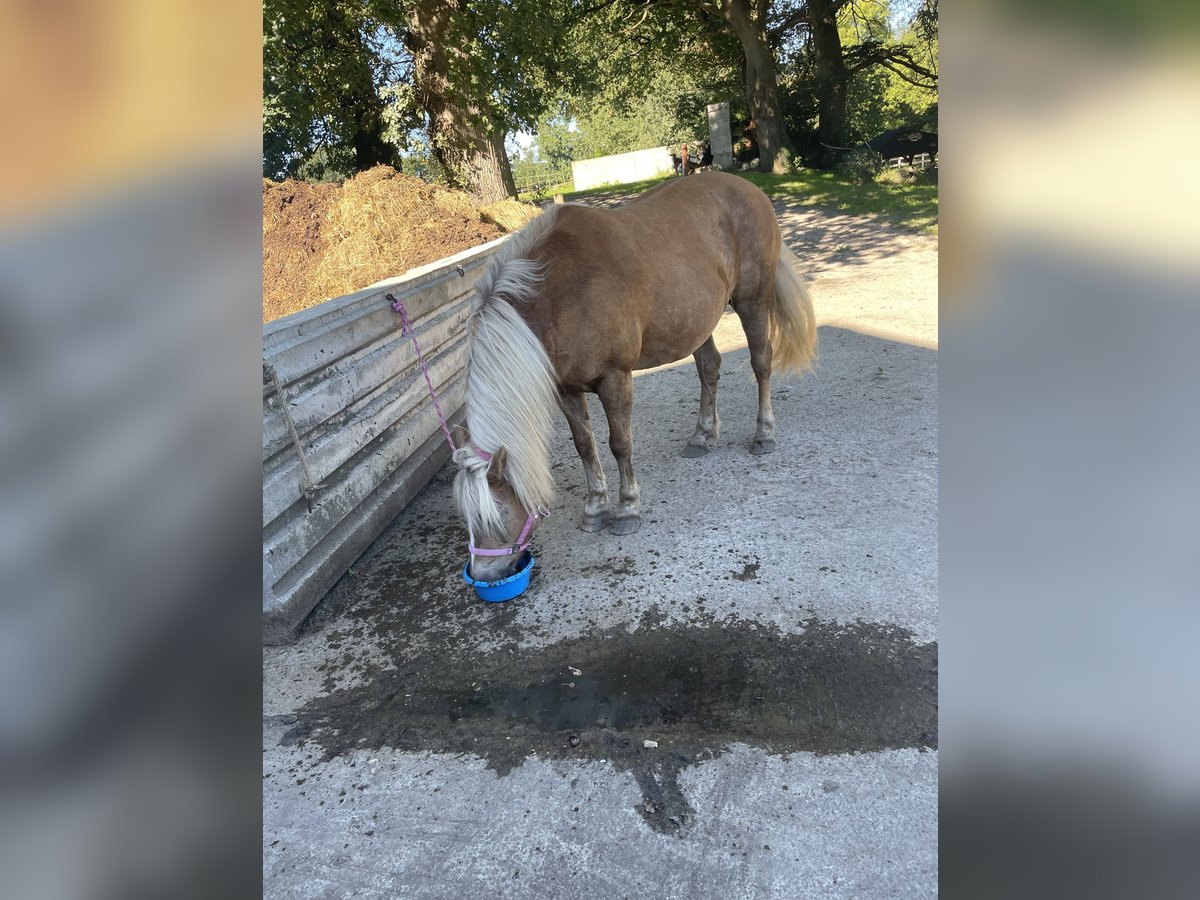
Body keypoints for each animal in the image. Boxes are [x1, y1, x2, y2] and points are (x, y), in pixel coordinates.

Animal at [451, 174, 816, 585]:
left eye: (497, 515)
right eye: (466, 517)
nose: (486, 572)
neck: (560, 292)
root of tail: (750, 188)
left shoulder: (615, 379)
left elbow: (619, 444)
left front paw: (627, 510)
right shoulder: (566, 389)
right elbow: (585, 446)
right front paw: (595, 509)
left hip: (753, 300)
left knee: (761, 364)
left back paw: (764, 434)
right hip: (698, 320)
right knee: (709, 368)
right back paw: (701, 436)